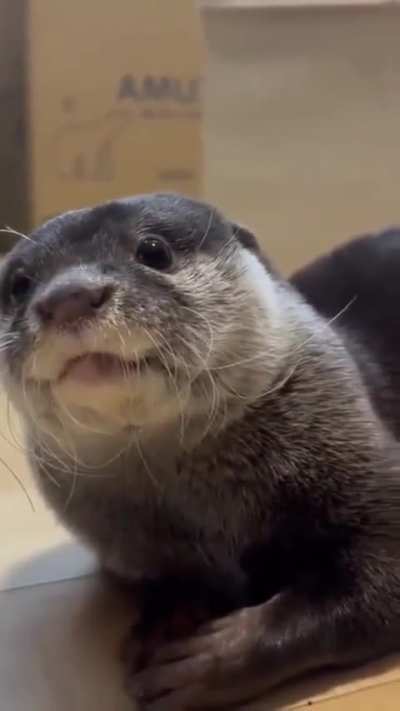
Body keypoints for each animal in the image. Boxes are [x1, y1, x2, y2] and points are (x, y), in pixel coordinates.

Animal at [1, 194, 400, 710]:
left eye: (153, 250)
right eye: (20, 284)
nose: (67, 296)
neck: (209, 508)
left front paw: (216, 658)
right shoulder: (128, 548)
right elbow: (167, 579)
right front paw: (170, 616)